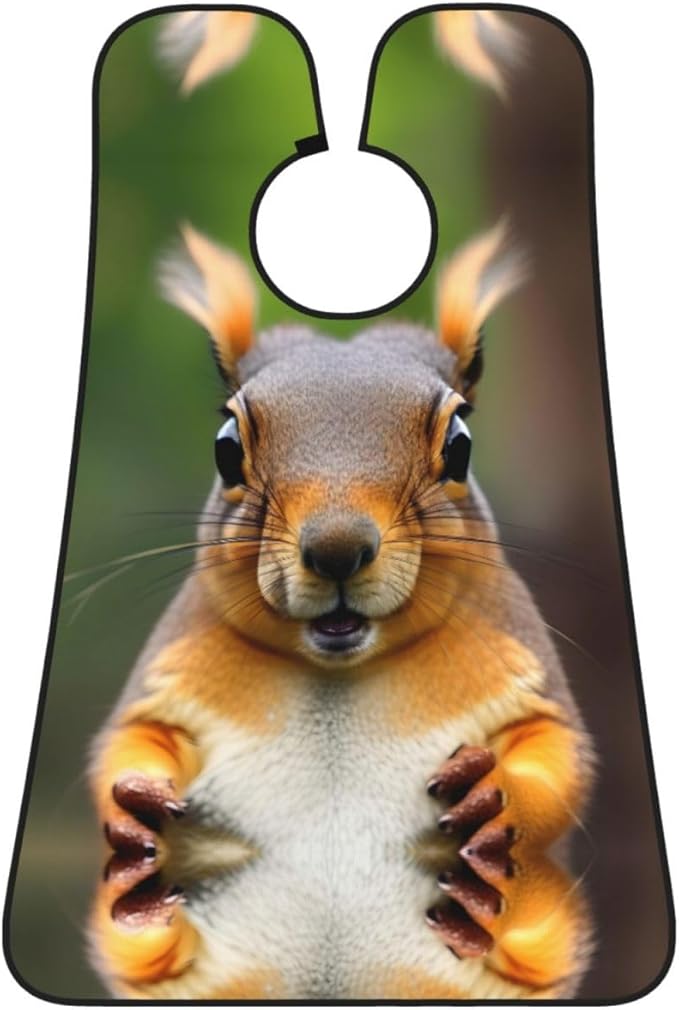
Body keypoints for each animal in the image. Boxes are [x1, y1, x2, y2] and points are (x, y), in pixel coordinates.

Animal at [87, 220, 594, 1000]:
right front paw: (139, 795)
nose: (335, 549)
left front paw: (494, 790)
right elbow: (129, 741)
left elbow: (555, 758)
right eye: (225, 449)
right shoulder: (173, 663)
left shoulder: (521, 659)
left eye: (460, 445)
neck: (339, 670)